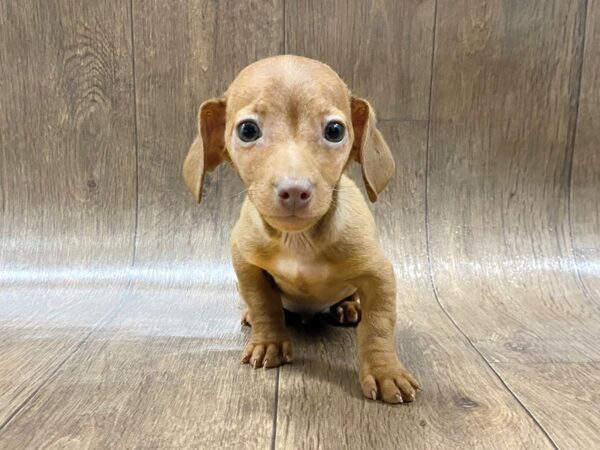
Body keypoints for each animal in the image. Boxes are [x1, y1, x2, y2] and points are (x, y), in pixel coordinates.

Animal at [183, 54, 422, 402]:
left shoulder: (379, 274)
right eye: (248, 130)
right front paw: (268, 341)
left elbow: (378, 326)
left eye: (334, 130)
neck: (297, 240)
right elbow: (263, 303)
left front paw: (384, 371)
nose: (294, 190)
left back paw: (347, 307)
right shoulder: (246, 265)